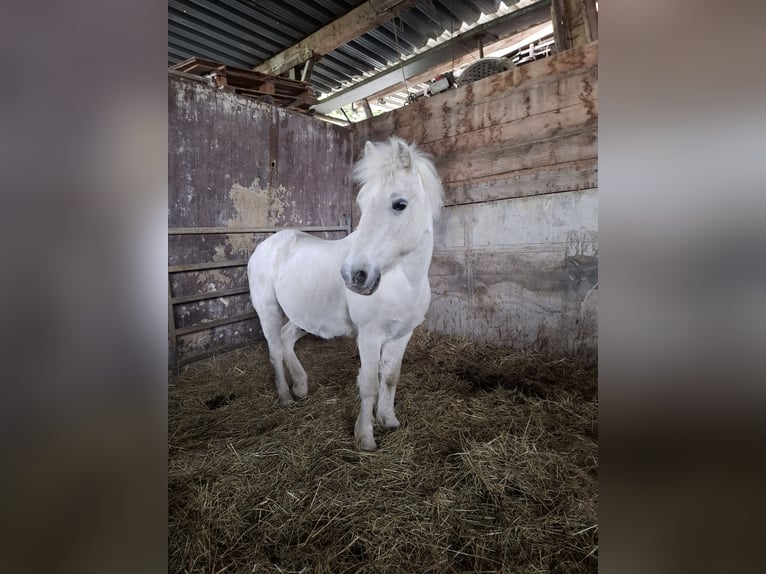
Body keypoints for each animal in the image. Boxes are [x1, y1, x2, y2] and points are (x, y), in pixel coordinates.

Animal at [247, 137, 444, 451]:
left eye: (399, 204)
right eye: (361, 202)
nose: (354, 275)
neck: (403, 280)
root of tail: (265, 245)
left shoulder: (402, 335)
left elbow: (390, 378)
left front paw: (389, 421)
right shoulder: (370, 336)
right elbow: (369, 384)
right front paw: (365, 437)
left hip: (302, 317)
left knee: (287, 340)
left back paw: (301, 386)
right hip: (268, 311)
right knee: (275, 349)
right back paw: (286, 397)